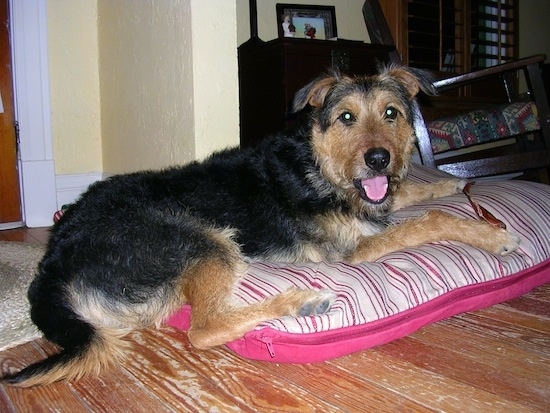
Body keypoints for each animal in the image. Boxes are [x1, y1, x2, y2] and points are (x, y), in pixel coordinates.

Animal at [1, 64, 520, 386]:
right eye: (346, 117)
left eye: (390, 113)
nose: (379, 159)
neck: (318, 166)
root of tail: (54, 256)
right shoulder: (353, 250)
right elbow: (428, 221)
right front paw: (493, 235)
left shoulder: (376, 200)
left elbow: (413, 194)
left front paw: (452, 182)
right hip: (204, 240)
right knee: (203, 328)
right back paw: (298, 302)